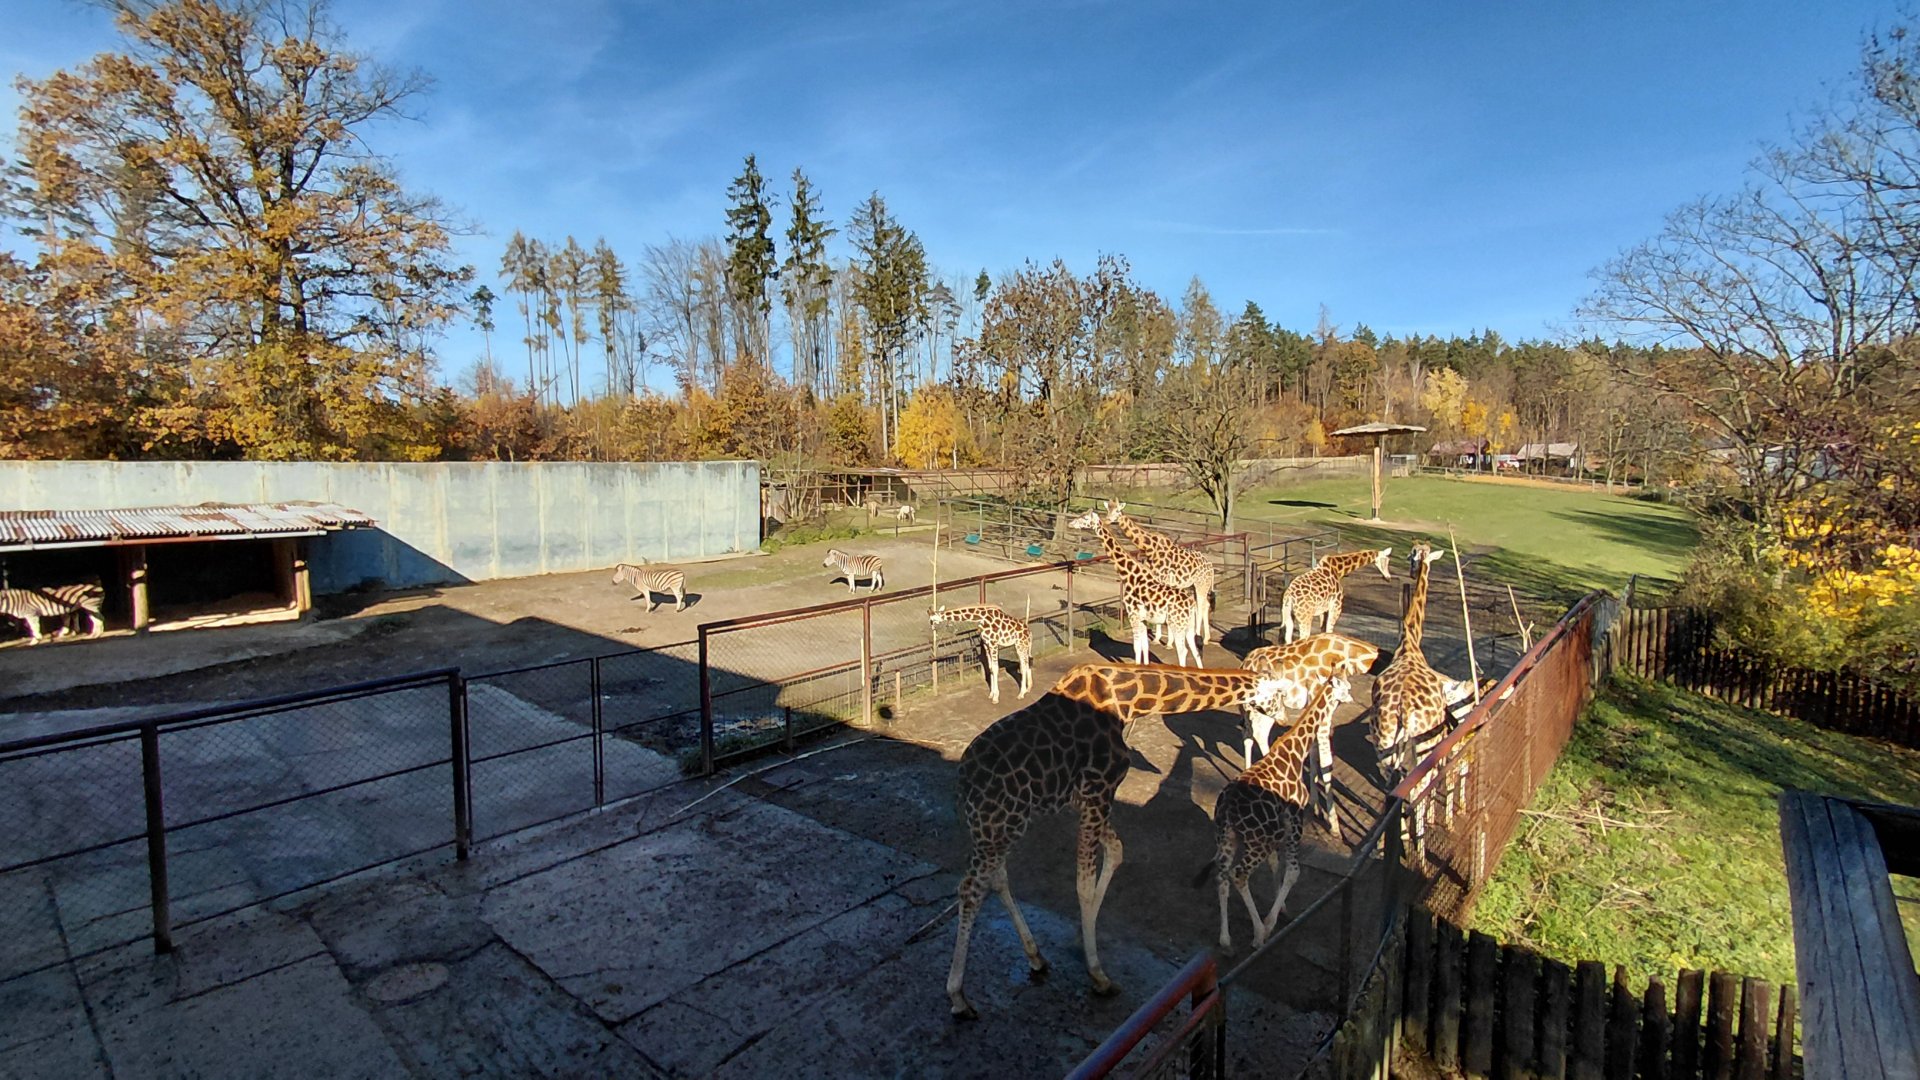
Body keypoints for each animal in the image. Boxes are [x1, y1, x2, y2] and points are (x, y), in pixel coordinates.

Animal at [947, 663, 1291, 1019]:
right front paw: (1097, 974)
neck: (1129, 701)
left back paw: (1035, 956)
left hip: (1002, 828)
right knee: (970, 889)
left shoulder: (1086, 800)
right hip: (997, 826)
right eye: (1280, 693)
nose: (1283, 719)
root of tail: (964, 782)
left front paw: (1081, 940)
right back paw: (958, 996)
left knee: (996, 878)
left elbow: (1116, 852)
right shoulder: (1098, 791)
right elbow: (1084, 885)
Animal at [1067, 508, 1200, 666]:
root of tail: (1191, 604)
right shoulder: (1142, 619)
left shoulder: (1133, 615)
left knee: (1182, 651)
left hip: (1177, 623)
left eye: (1085, 518)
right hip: (1188, 625)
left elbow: (1137, 648)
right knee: (1196, 652)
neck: (1129, 576)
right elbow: (1144, 647)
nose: (1070, 524)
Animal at [1104, 500, 1217, 649]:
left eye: (1117, 510)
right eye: (1108, 509)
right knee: (1205, 605)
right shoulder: (1156, 579)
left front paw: (1168, 643)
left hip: (1201, 585)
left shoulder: (1165, 579)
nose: (1107, 520)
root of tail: (1211, 567)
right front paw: (1157, 639)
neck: (1150, 548)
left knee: (1201, 605)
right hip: (1194, 585)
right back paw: (1206, 638)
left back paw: (1197, 636)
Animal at [1206, 675, 1354, 951]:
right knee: (1238, 874)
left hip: (1227, 835)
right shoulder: (1294, 818)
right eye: (1346, 687)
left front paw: (1281, 906)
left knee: (1222, 875)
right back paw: (1259, 934)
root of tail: (1228, 805)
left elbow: (1277, 865)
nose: (1350, 697)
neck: (1296, 749)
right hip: (1255, 840)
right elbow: (1293, 871)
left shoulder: (1279, 824)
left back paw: (1225, 939)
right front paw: (1271, 920)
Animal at [1238, 632, 1381, 840]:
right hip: (1264, 708)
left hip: (1257, 709)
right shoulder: (1325, 709)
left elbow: (1313, 754)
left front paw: (1316, 808)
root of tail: (1244, 663)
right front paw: (1334, 826)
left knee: (1249, 734)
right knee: (1259, 733)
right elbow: (1326, 763)